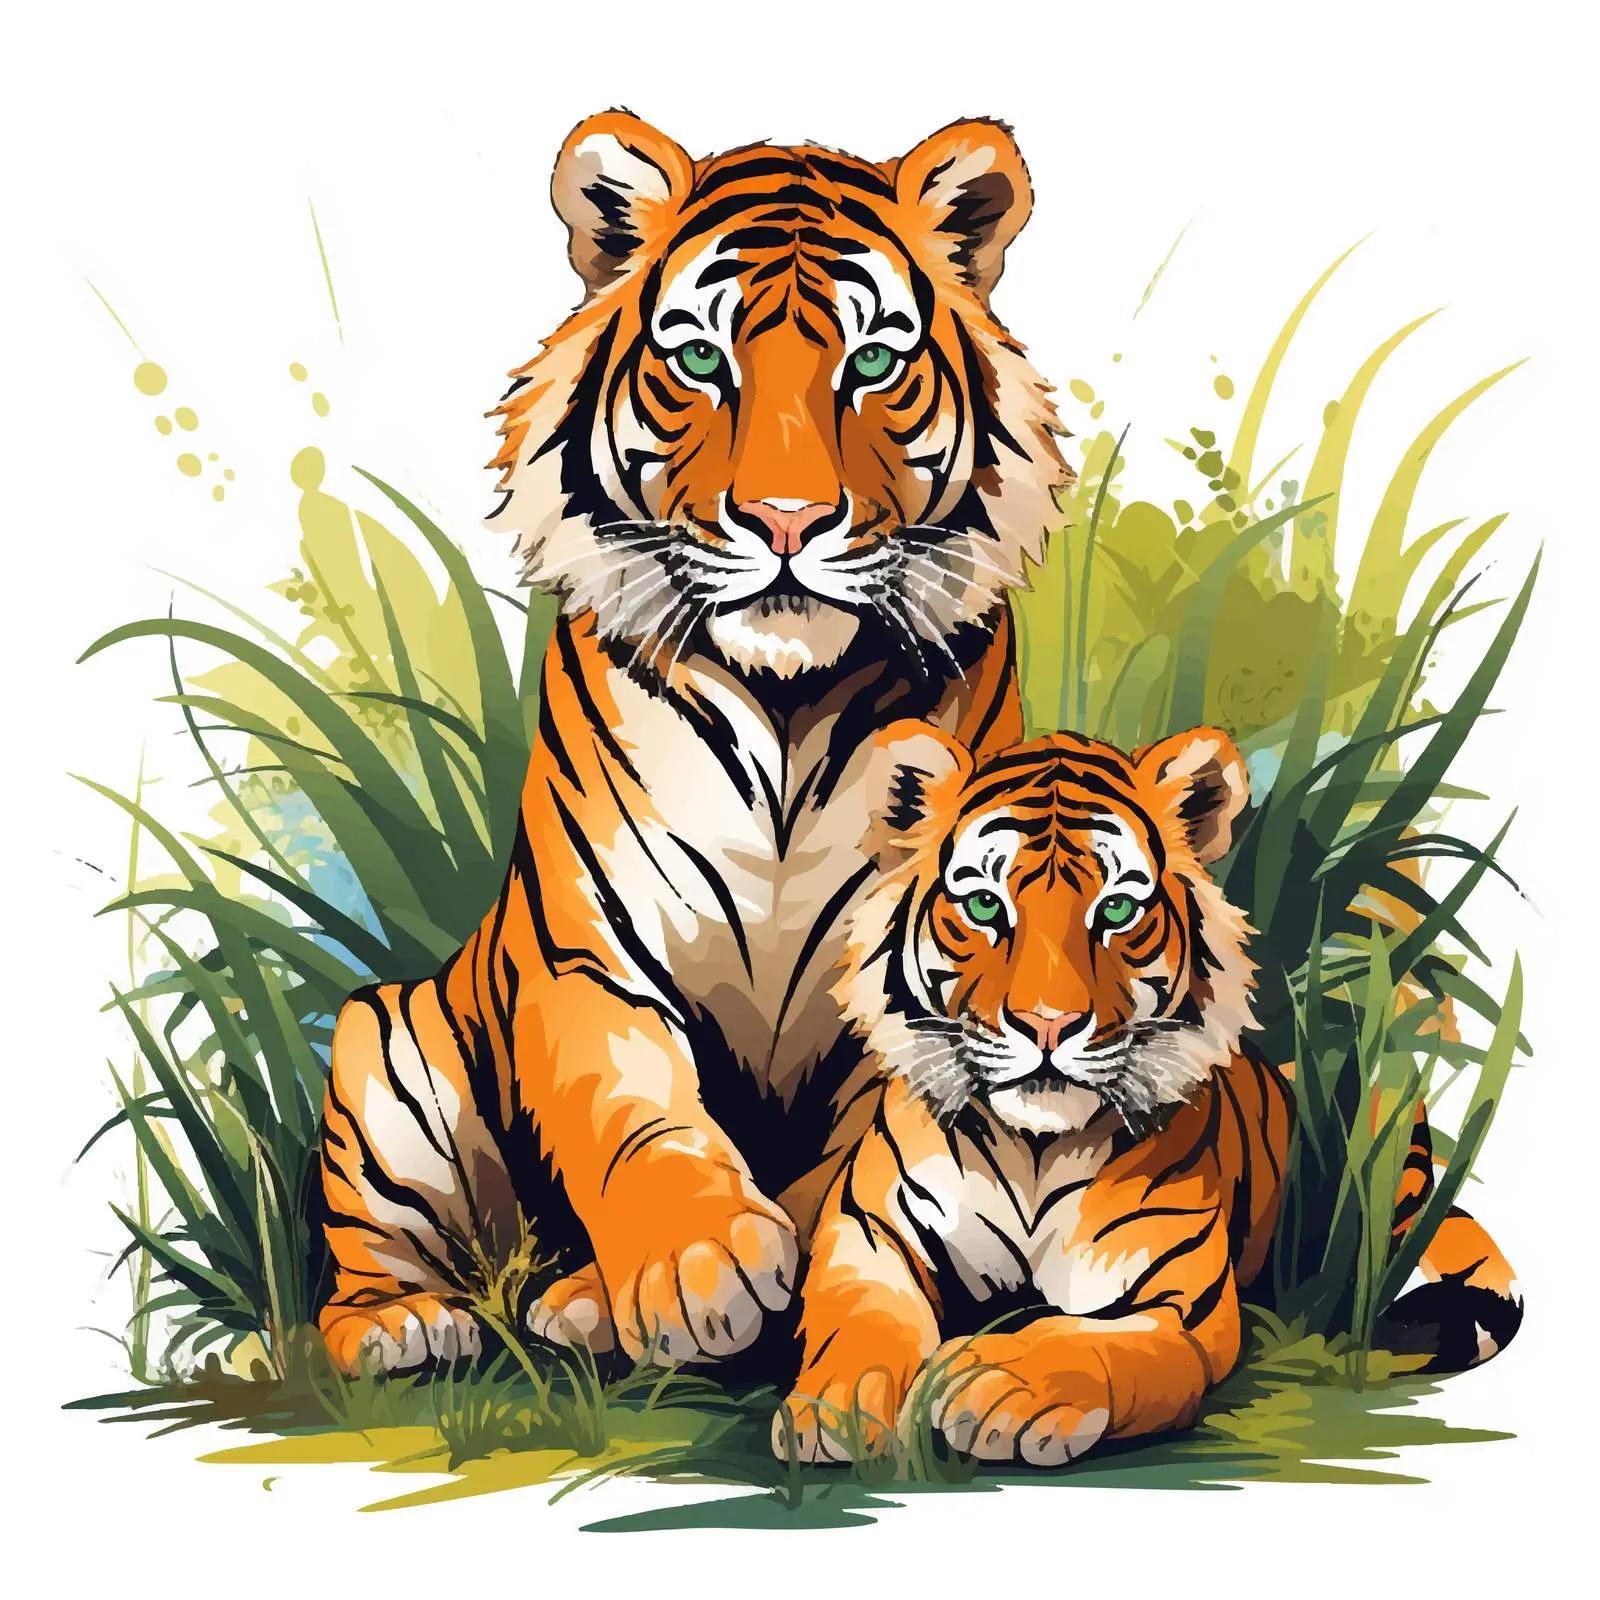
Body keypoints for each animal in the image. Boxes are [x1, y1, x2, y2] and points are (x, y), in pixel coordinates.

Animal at [316, 110, 1071, 1374]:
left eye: (873, 365)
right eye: (703, 363)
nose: (785, 522)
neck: (786, 702)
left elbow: (839, 1178)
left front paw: (639, 1291)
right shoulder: (588, 956)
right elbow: (635, 1114)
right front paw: (694, 1263)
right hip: (383, 1043)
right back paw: (404, 1323)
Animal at [771, 722, 1523, 1465]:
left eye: (1117, 909)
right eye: (985, 904)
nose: (1049, 1023)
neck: (1032, 1151)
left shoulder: (1181, 1305)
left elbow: (1095, 1342)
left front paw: (1000, 1383)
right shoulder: (869, 1233)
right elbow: (860, 1320)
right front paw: (831, 1411)